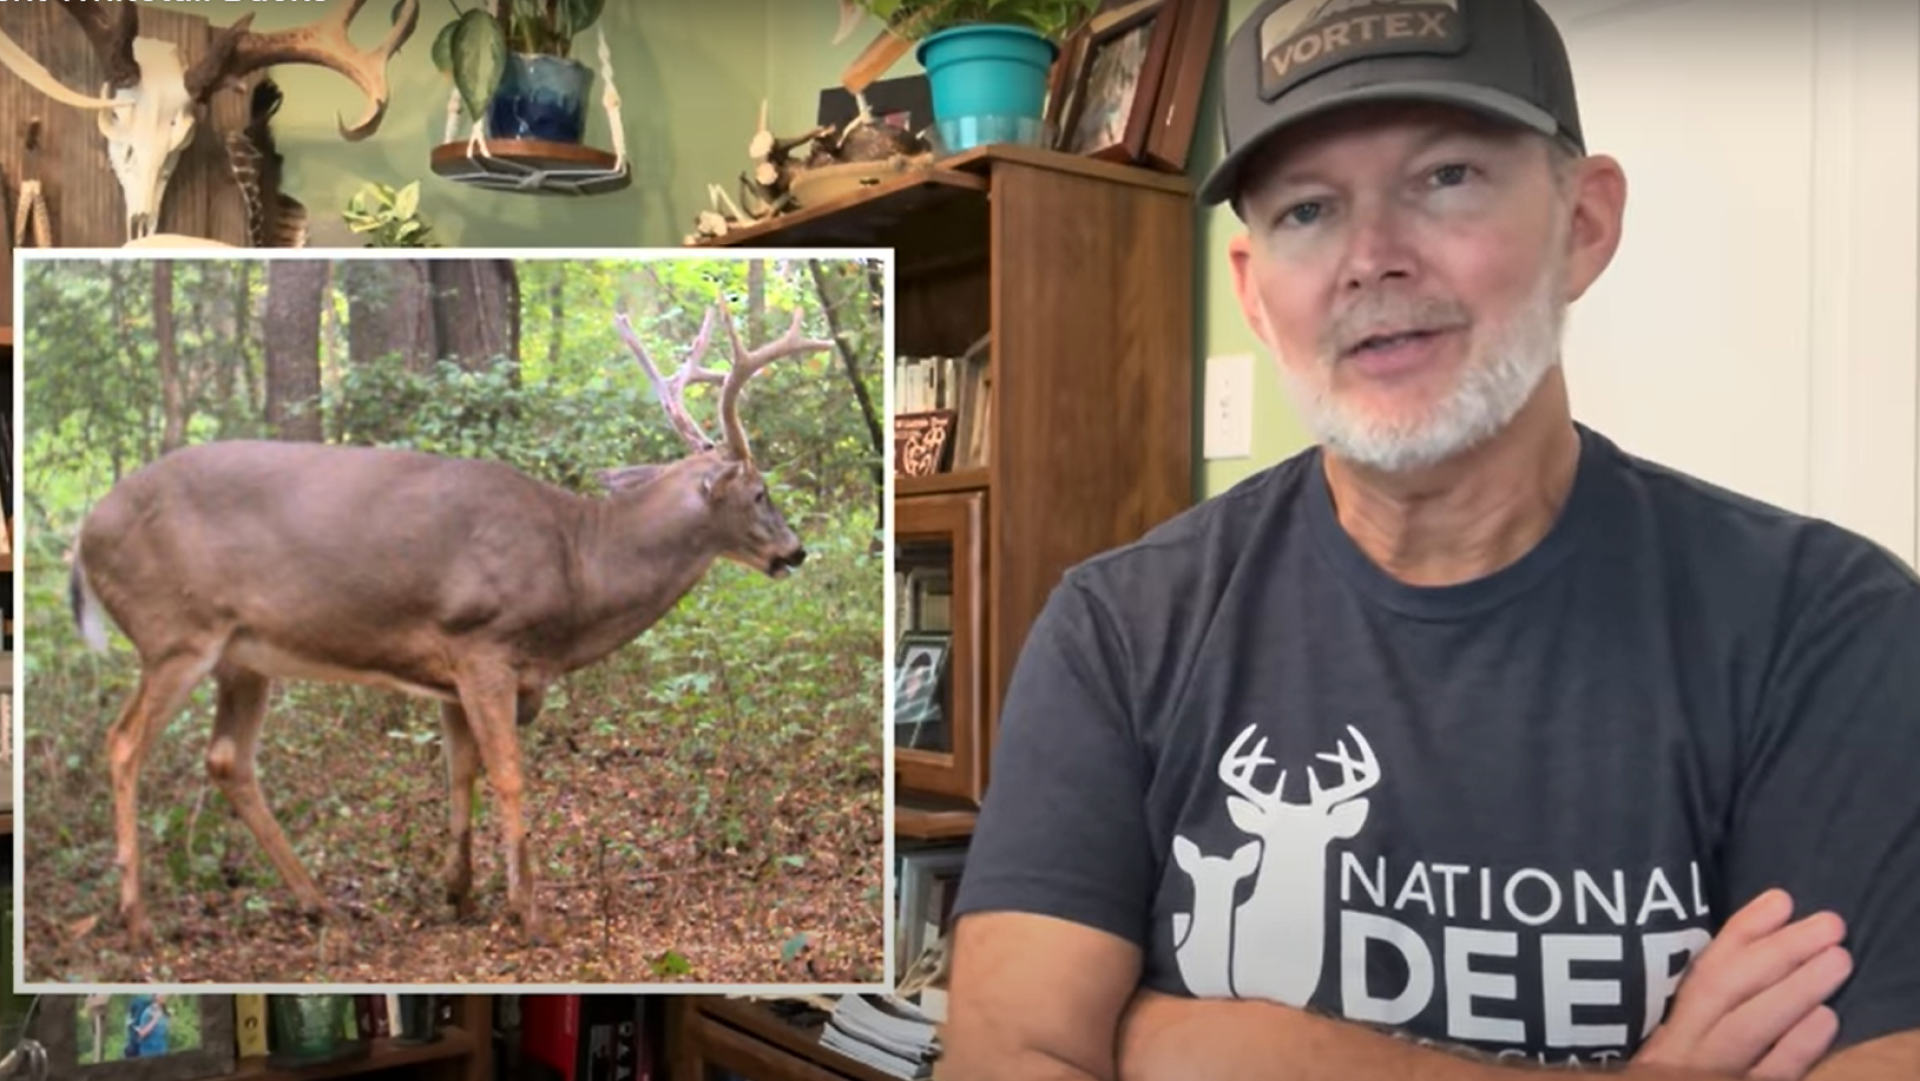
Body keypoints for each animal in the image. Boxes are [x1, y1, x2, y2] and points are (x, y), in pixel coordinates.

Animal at [65, 297, 834, 948]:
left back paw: (319, 902)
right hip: (175, 631)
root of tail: (82, 537)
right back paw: (138, 920)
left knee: (227, 758)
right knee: (124, 742)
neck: (577, 565)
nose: (795, 550)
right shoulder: (482, 645)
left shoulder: (448, 673)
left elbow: (459, 771)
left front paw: (460, 892)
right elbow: (510, 774)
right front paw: (531, 914)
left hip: (242, 655)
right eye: (760, 491)